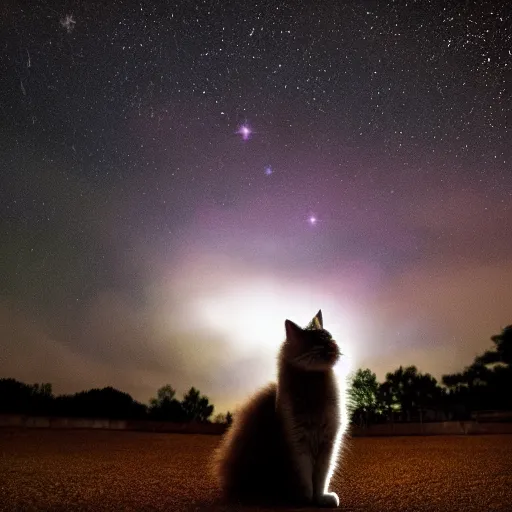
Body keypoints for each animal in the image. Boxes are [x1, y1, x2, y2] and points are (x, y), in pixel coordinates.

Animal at [212, 310, 344, 506]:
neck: (313, 381)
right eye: (317, 342)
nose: (332, 345)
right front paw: (305, 500)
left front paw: (321, 499)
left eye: (330, 337)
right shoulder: (297, 442)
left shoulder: (328, 443)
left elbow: (322, 477)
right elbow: (306, 479)